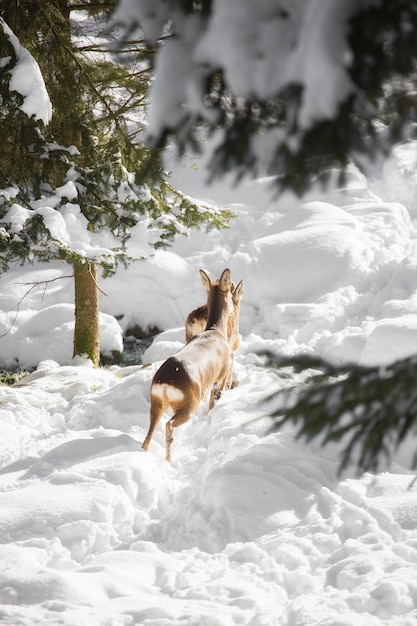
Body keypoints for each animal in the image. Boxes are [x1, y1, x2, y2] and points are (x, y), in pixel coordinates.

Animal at [142, 266, 234, 460]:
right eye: (230, 293)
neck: (216, 330)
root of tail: (165, 383)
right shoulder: (221, 375)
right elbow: (215, 399)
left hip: (156, 403)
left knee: (147, 437)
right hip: (189, 403)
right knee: (169, 426)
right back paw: (171, 462)